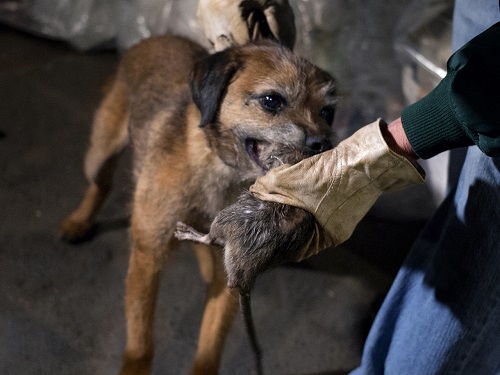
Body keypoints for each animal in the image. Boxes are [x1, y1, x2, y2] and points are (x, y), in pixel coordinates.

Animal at [60, 33, 338, 374]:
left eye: (327, 113)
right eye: (272, 101)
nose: (323, 144)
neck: (218, 168)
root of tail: (152, 39)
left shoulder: (233, 274)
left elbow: (210, 344)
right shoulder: (147, 255)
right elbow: (141, 341)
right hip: (99, 152)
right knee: (101, 183)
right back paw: (79, 221)